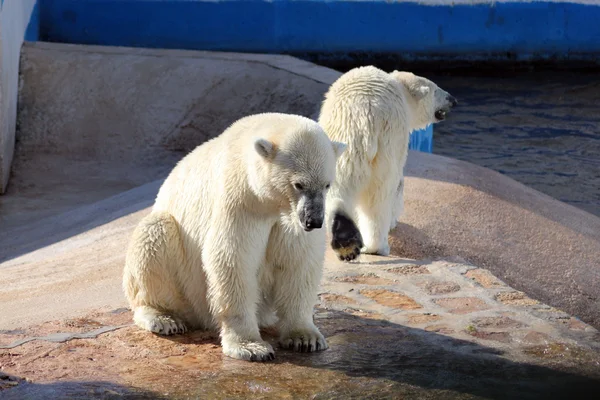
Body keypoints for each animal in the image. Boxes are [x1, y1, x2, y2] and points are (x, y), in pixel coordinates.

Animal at [122, 113, 346, 362]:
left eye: (326, 185)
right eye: (299, 184)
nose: (314, 221)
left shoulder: (288, 222)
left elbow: (299, 261)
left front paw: (306, 338)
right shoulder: (240, 200)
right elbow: (232, 258)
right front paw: (251, 347)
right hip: (184, 287)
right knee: (154, 233)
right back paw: (162, 318)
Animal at [322, 66, 458, 258]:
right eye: (436, 90)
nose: (453, 100)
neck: (400, 87)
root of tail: (364, 117)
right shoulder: (399, 138)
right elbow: (398, 185)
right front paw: (394, 221)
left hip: (341, 143)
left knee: (337, 187)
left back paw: (344, 239)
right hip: (384, 145)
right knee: (379, 196)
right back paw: (377, 247)